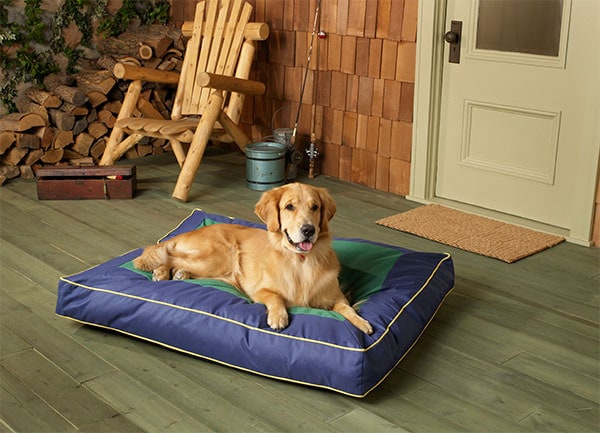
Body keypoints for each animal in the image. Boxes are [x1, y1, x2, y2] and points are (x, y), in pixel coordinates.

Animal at [134, 182, 372, 334]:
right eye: (289, 206)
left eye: (315, 207)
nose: (308, 230)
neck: (301, 262)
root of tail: (193, 231)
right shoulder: (260, 291)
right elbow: (275, 297)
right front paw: (278, 317)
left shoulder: (337, 297)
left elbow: (347, 308)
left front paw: (361, 322)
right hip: (219, 255)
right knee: (169, 254)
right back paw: (160, 271)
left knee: (179, 261)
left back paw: (178, 274)